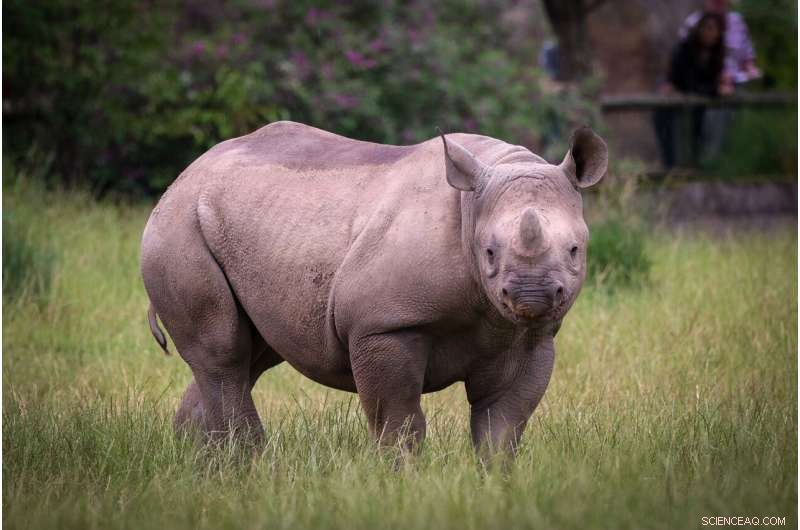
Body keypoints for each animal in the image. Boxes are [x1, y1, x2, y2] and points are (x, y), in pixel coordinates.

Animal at [140, 120, 607, 457]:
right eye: (489, 253)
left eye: (575, 250)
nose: (533, 298)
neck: (470, 209)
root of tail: (187, 173)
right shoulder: (384, 325)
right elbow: (398, 420)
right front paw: (402, 478)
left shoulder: (530, 337)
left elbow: (503, 423)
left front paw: (495, 481)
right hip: (177, 226)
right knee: (224, 353)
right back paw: (248, 461)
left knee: (252, 354)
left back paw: (201, 461)